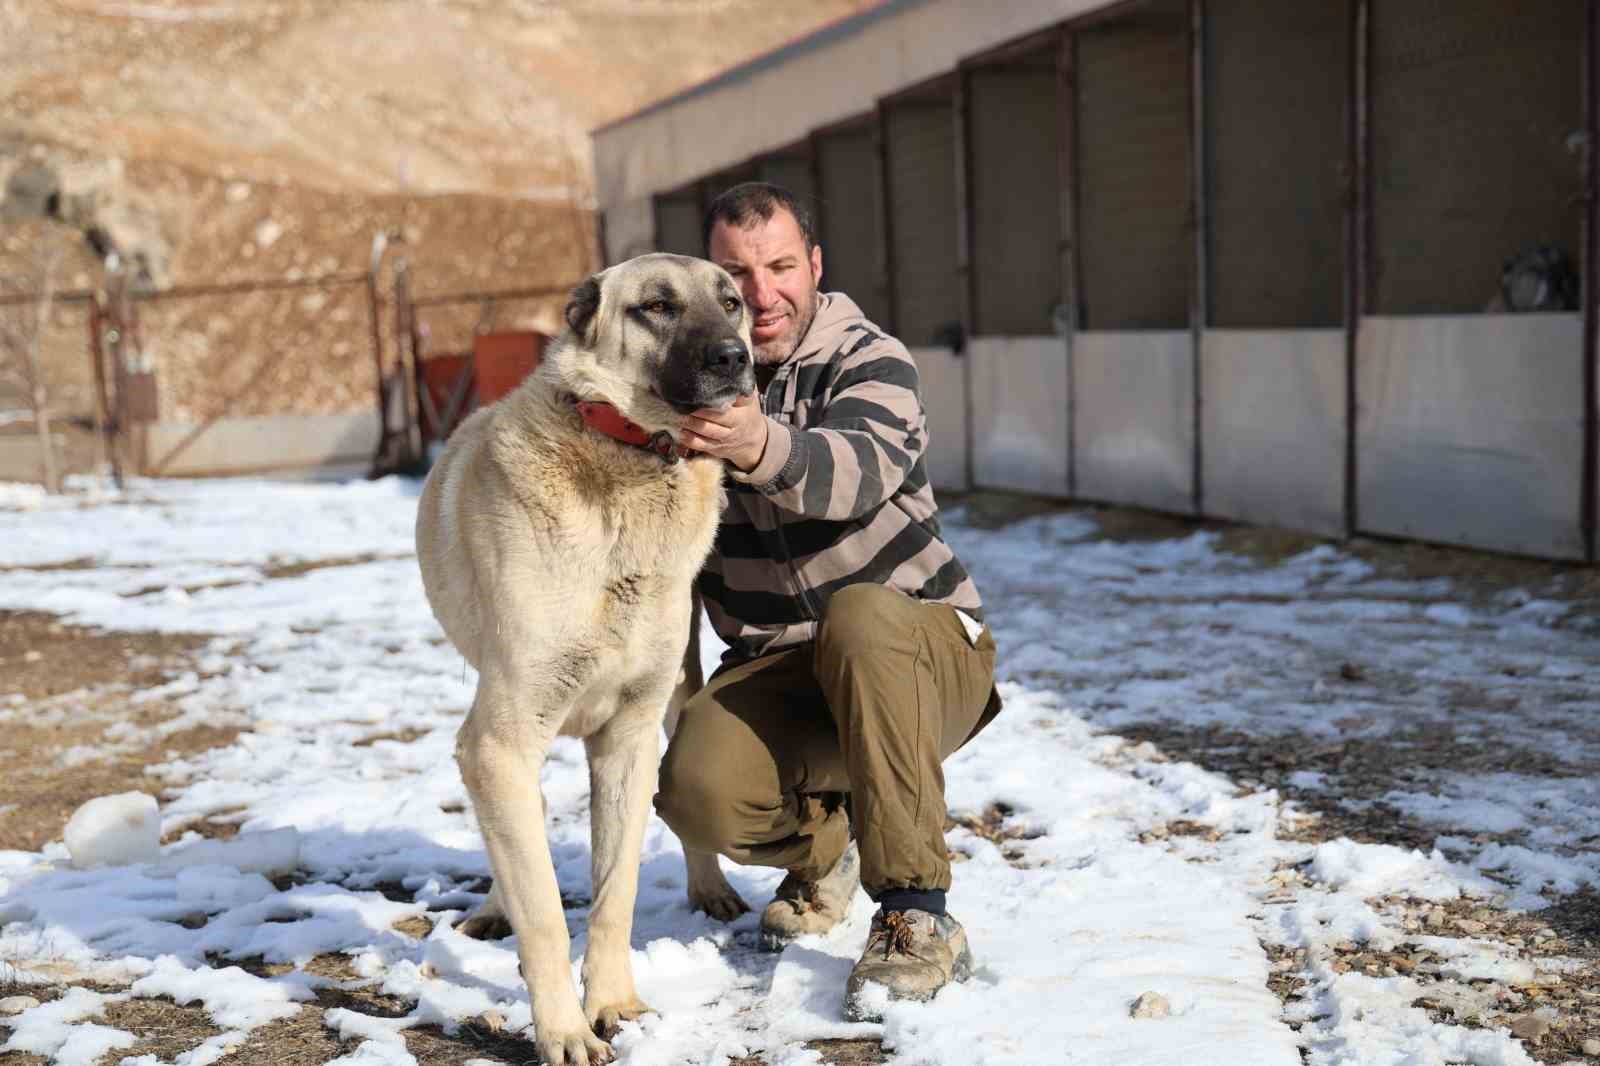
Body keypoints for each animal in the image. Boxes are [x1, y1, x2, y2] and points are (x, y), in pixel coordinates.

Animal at [419, 252, 755, 1056]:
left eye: (730, 300)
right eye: (657, 306)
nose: (736, 358)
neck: (628, 457)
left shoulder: (627, 739)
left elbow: (615, 891)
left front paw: (614, 1003)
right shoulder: (500, 741)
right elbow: (543, 908)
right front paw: (564, 1033)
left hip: (676, 693)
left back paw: (709, 887)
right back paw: (495, 904)